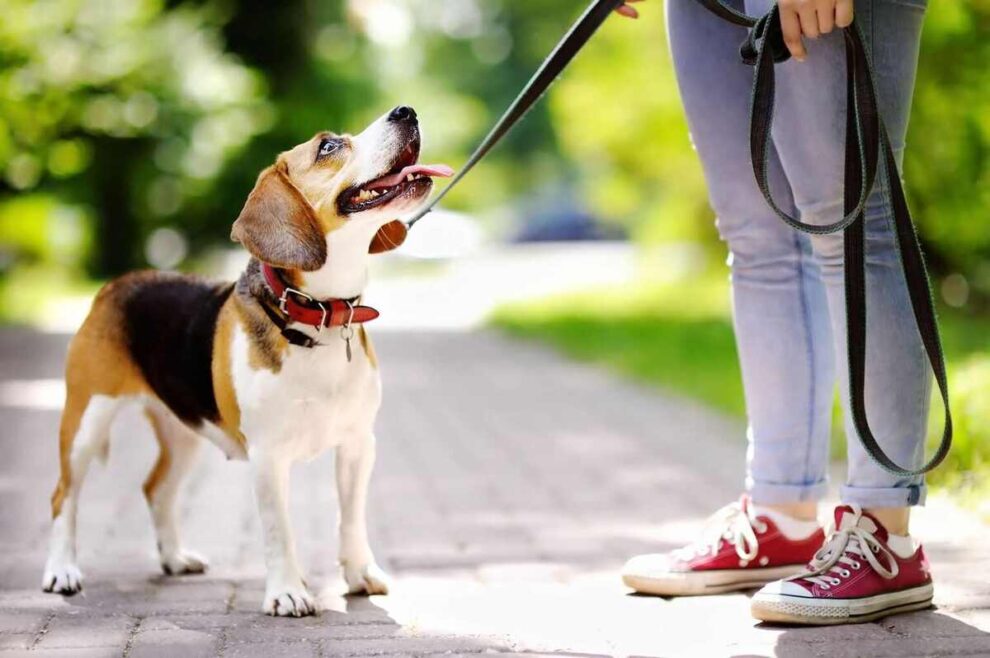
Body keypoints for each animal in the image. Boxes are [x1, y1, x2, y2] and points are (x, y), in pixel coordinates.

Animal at [42, 105, 454, 612]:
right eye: (328, 146)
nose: (406, 111)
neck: (317, 316)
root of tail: (117, 284)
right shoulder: (268, 456)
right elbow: (280, 531)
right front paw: (288, 592)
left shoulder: (359, 444)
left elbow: (351, 518)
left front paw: (360, 573)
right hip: (85, 421)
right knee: (63, 496)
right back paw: (62, 571)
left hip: (184, 431)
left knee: (156, 490)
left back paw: (174, 558)